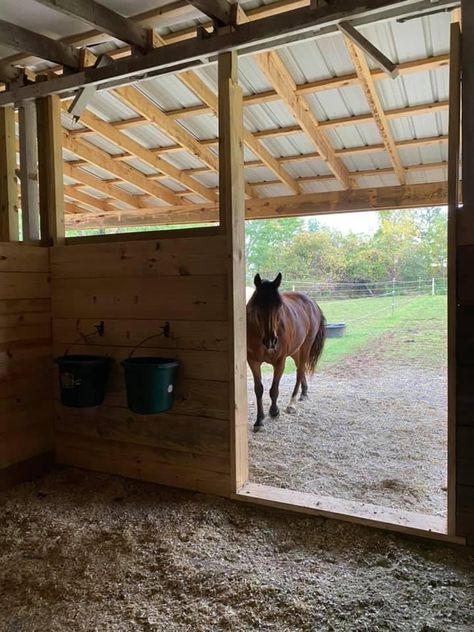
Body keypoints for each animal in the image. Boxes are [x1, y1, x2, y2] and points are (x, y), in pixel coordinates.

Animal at [246, 272, 324, 430]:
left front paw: (274, 412)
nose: (271, 341)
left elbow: (274, 390)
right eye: (258, 306)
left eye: (279, 306)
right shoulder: (253, 362)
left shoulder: (280, 362)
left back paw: (292, 403)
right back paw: (304, 392)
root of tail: (312, 303)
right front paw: (259, 420)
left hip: (305, 347)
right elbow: (259, 389)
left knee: (300, 371)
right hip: (295, 351)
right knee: (300, 368)